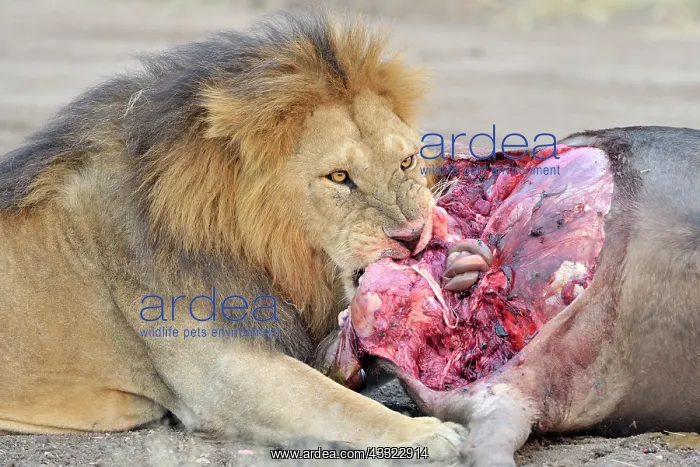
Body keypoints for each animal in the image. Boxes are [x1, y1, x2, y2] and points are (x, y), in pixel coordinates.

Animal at [0, 8, 468, 456]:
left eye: (406, 162)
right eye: (339, 176)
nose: (413, 235)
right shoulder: (225, 376)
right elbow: (336, 403)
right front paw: (430, 434)